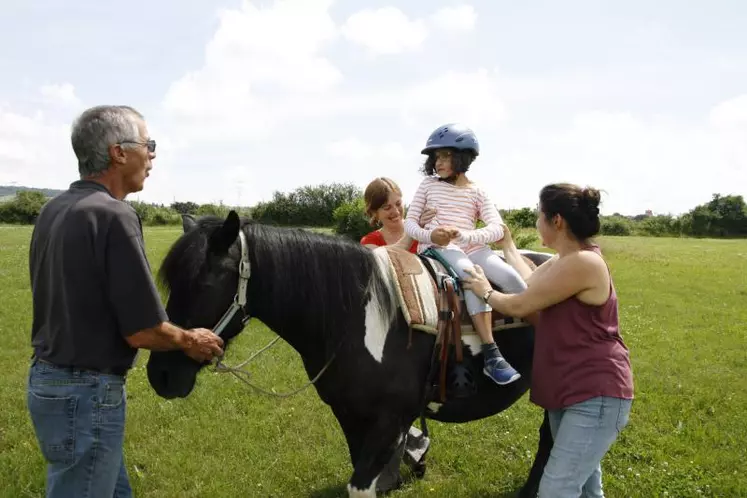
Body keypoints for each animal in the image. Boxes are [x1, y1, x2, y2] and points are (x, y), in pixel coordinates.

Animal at [146, 212, 556, 496]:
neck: (360, 319)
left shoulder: (391, 420)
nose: (160, 375)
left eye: (204, 284)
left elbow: (361, 485)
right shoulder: (349, 415)